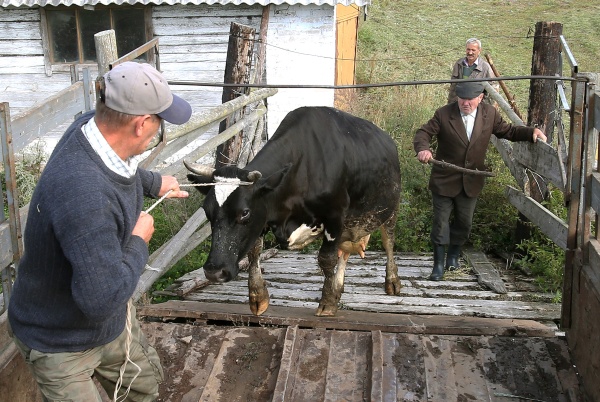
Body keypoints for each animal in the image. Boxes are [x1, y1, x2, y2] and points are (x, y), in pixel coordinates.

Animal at [185, 107, 400, 318]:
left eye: (244, 212)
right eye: (207, 210)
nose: (214, 272)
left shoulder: (335, 216)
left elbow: (326, 258)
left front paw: (328, 303)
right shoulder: (264, 216)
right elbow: (254, 251)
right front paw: (258, 297)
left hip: (391, 207)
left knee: (388, 241)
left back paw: (392, 281)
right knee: (345, 252)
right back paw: (338, 287)